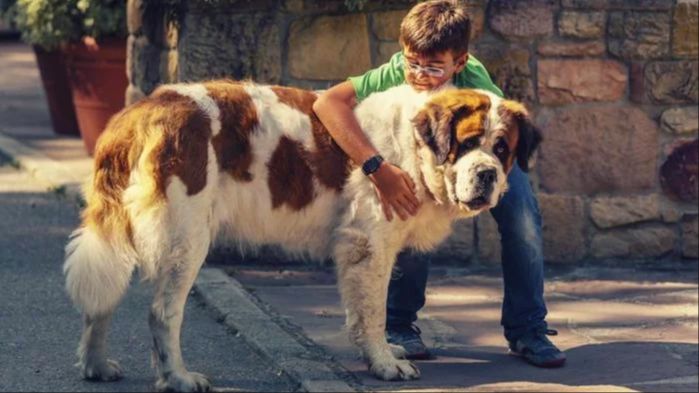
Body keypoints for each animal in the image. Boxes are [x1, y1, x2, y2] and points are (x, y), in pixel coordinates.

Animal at [63, 79, 544, 388]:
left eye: (502, 148)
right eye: (467, 143)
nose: (486, 174)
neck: (414, 146)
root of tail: (142, 110)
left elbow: (362, 311)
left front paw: (380, 353)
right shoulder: (371, 242)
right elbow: (374, 311)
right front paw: (385, 365)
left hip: (126, 229)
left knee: (101, 299)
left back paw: (96, 365)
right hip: (186, 237)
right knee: (163, 312)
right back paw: (178, 378)